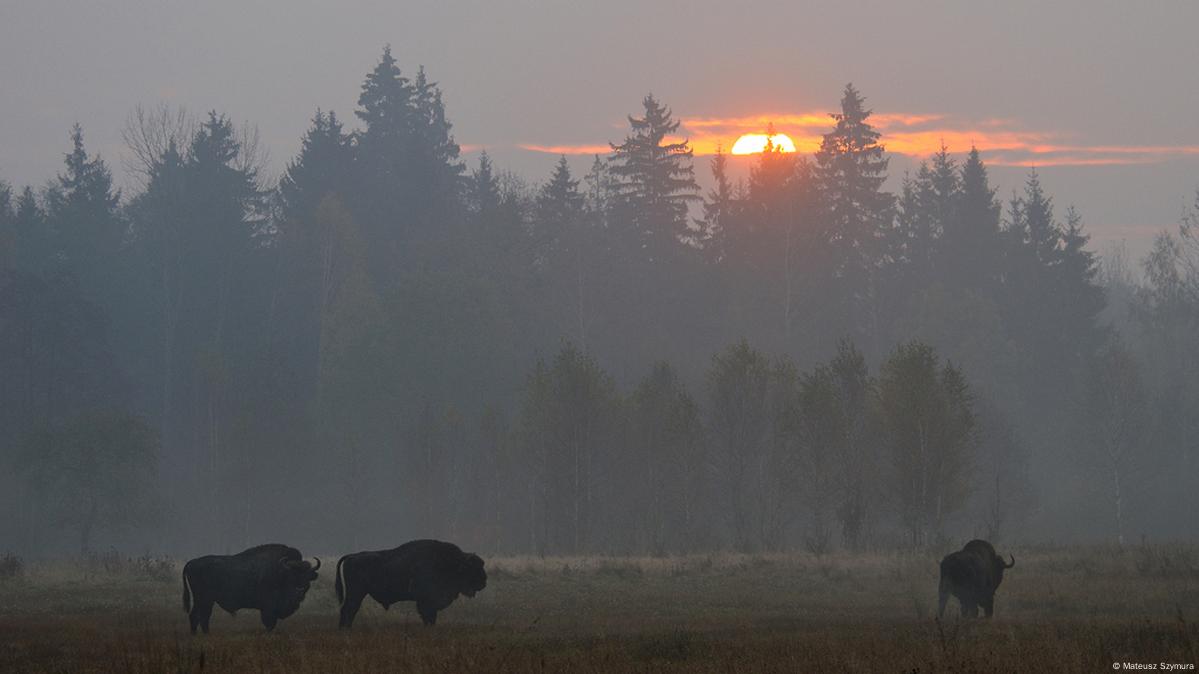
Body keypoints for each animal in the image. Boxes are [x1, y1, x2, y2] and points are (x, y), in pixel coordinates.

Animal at [178, 539, 318, 628]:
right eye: (292, 576)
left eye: (307, 577)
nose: (300, 591)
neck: (280, 571)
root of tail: (191, 562)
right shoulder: (268, 607)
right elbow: (269, 623)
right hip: (204, 599)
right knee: (199, 617)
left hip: (206, 601)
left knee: (200, 617)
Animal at [335, 537, 484, 628]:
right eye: (473, 568)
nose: (483, 582)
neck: (453, 562)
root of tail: (352, 556)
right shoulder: (426, 601)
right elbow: (428, 615)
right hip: (356, 593)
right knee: (349, 609)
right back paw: (345, 629)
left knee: (349, 609)